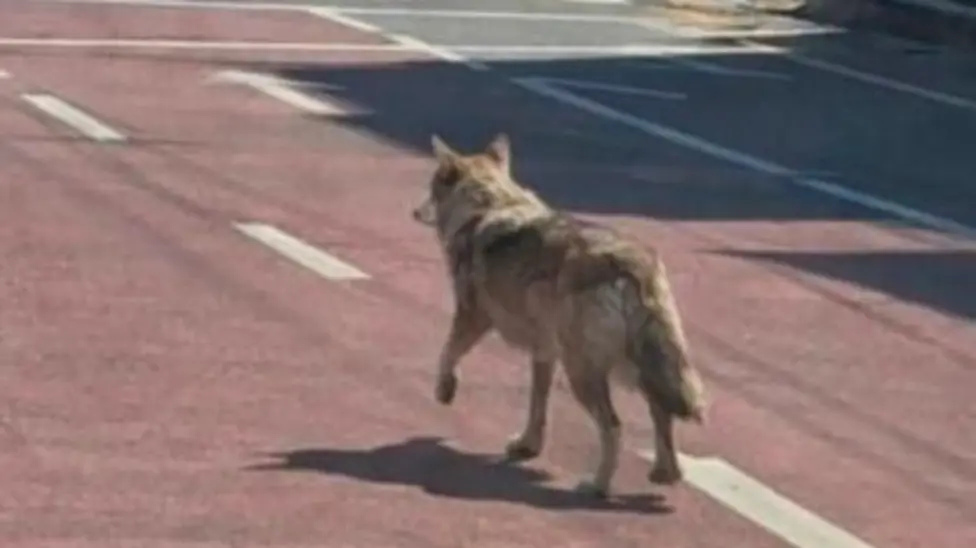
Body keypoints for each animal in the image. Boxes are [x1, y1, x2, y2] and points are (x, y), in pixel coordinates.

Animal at [411, 133, 707, 498]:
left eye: (431, 187)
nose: (413, 212)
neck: (489, 204)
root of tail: (631, 264)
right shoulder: (543, 352)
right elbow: (538, 405)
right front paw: (528, 445)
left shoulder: (472, 317)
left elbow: (447, 354)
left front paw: (445, 390)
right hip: (632, 366)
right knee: (661, 411)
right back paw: (665, 473)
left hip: (584, 372)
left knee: (614, 427)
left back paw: (597, 486)